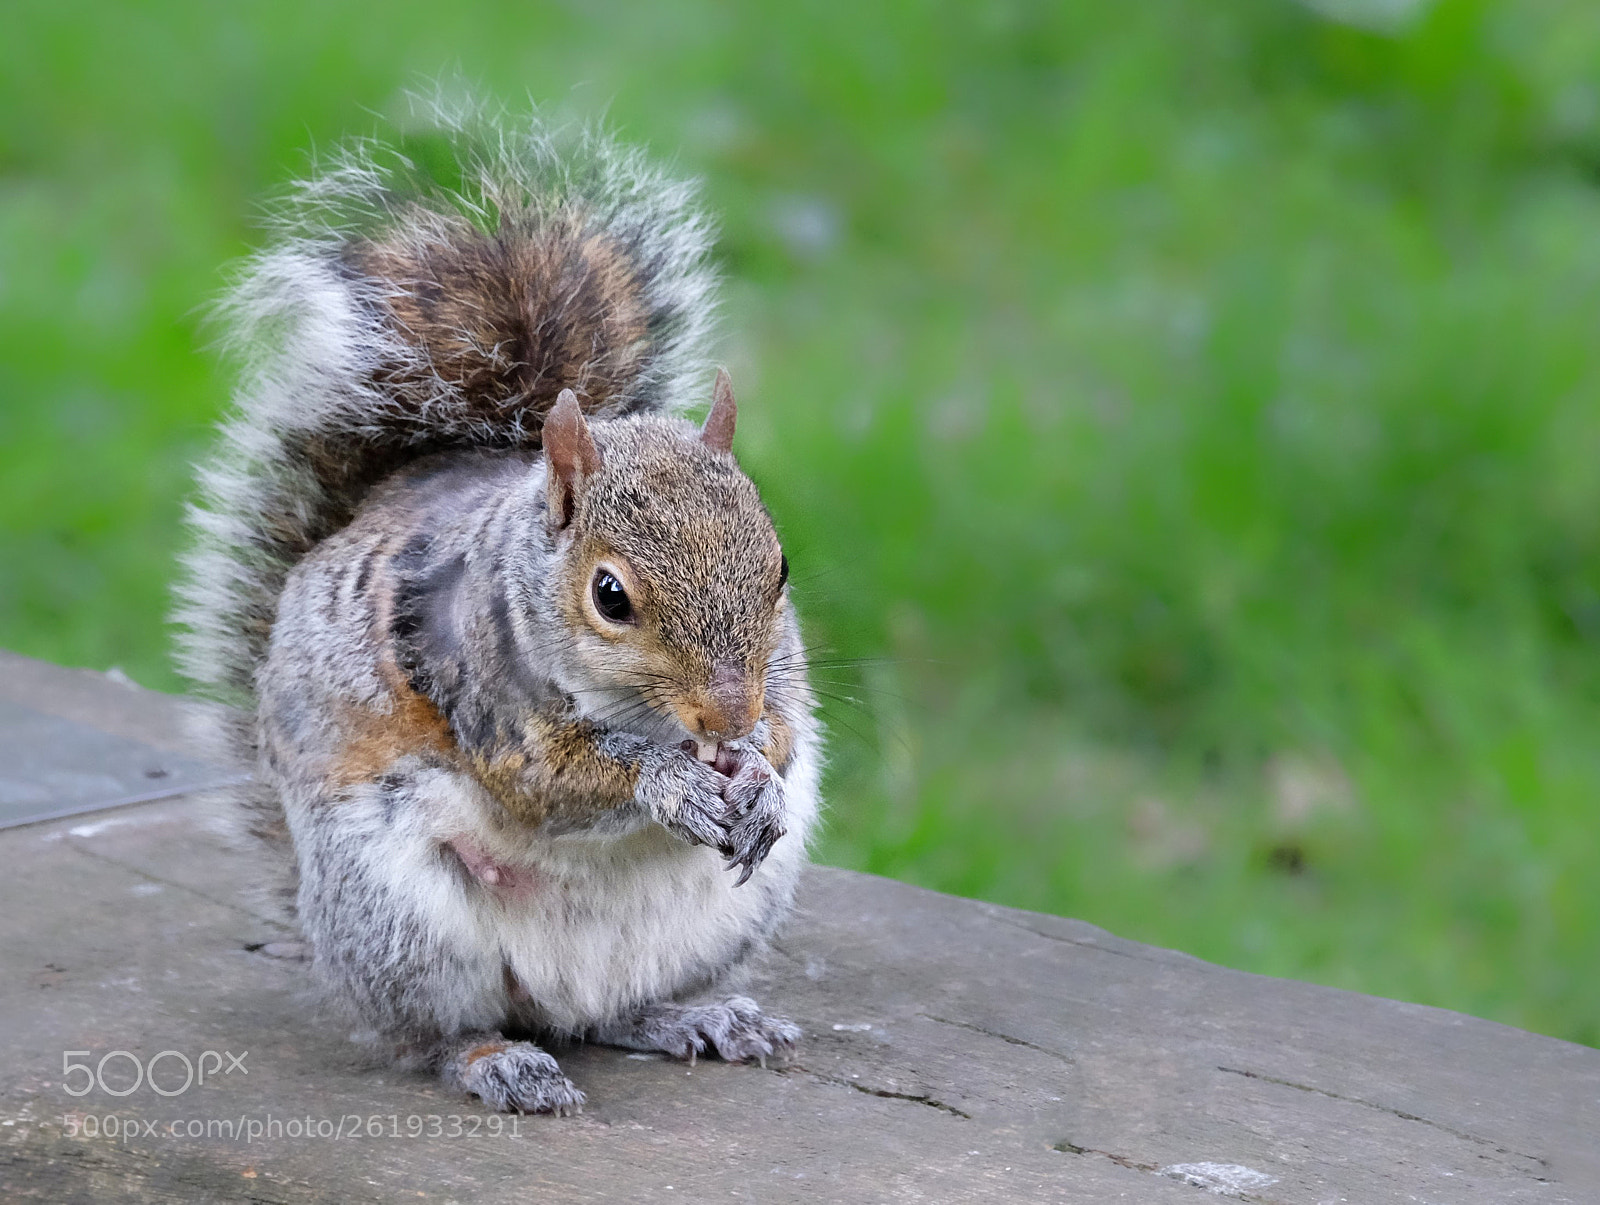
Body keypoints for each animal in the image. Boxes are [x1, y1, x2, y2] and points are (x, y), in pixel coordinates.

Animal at [174, 96, 822, 1115]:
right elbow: (552, 779)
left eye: (781, 564)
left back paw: (700, 1016)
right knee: (432, 1034)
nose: (726, 716)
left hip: (725, 919)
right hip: (402, 924)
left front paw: (756, 771)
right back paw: (496, 1059)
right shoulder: (478, 689)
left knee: (611, 1014)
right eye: (610, 595)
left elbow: (788, 729)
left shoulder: (781, 673)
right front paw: (669, 781)